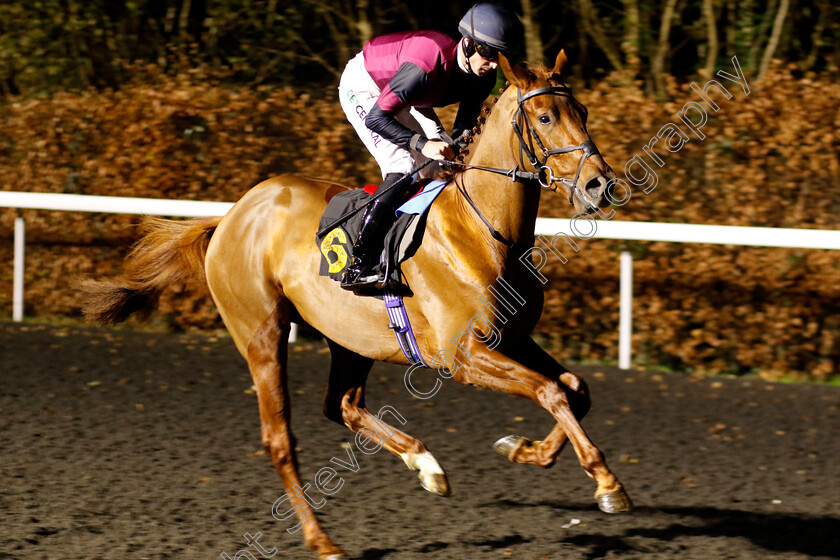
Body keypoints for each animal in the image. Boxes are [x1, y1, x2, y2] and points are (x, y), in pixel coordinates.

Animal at [83, 50, 632, 556]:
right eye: (545, 118)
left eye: (582, 110)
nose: (601, 185)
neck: (484, 231)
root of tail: (233, 214)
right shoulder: (464, 356)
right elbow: (550, 391)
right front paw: (608, 484)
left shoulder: (513, 339)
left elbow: (575, 388)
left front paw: (525, 450)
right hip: (261, 333)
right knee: (280, 438)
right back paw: (322, 539)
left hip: (350, 337)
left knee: (341, 405)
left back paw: (424, 463)